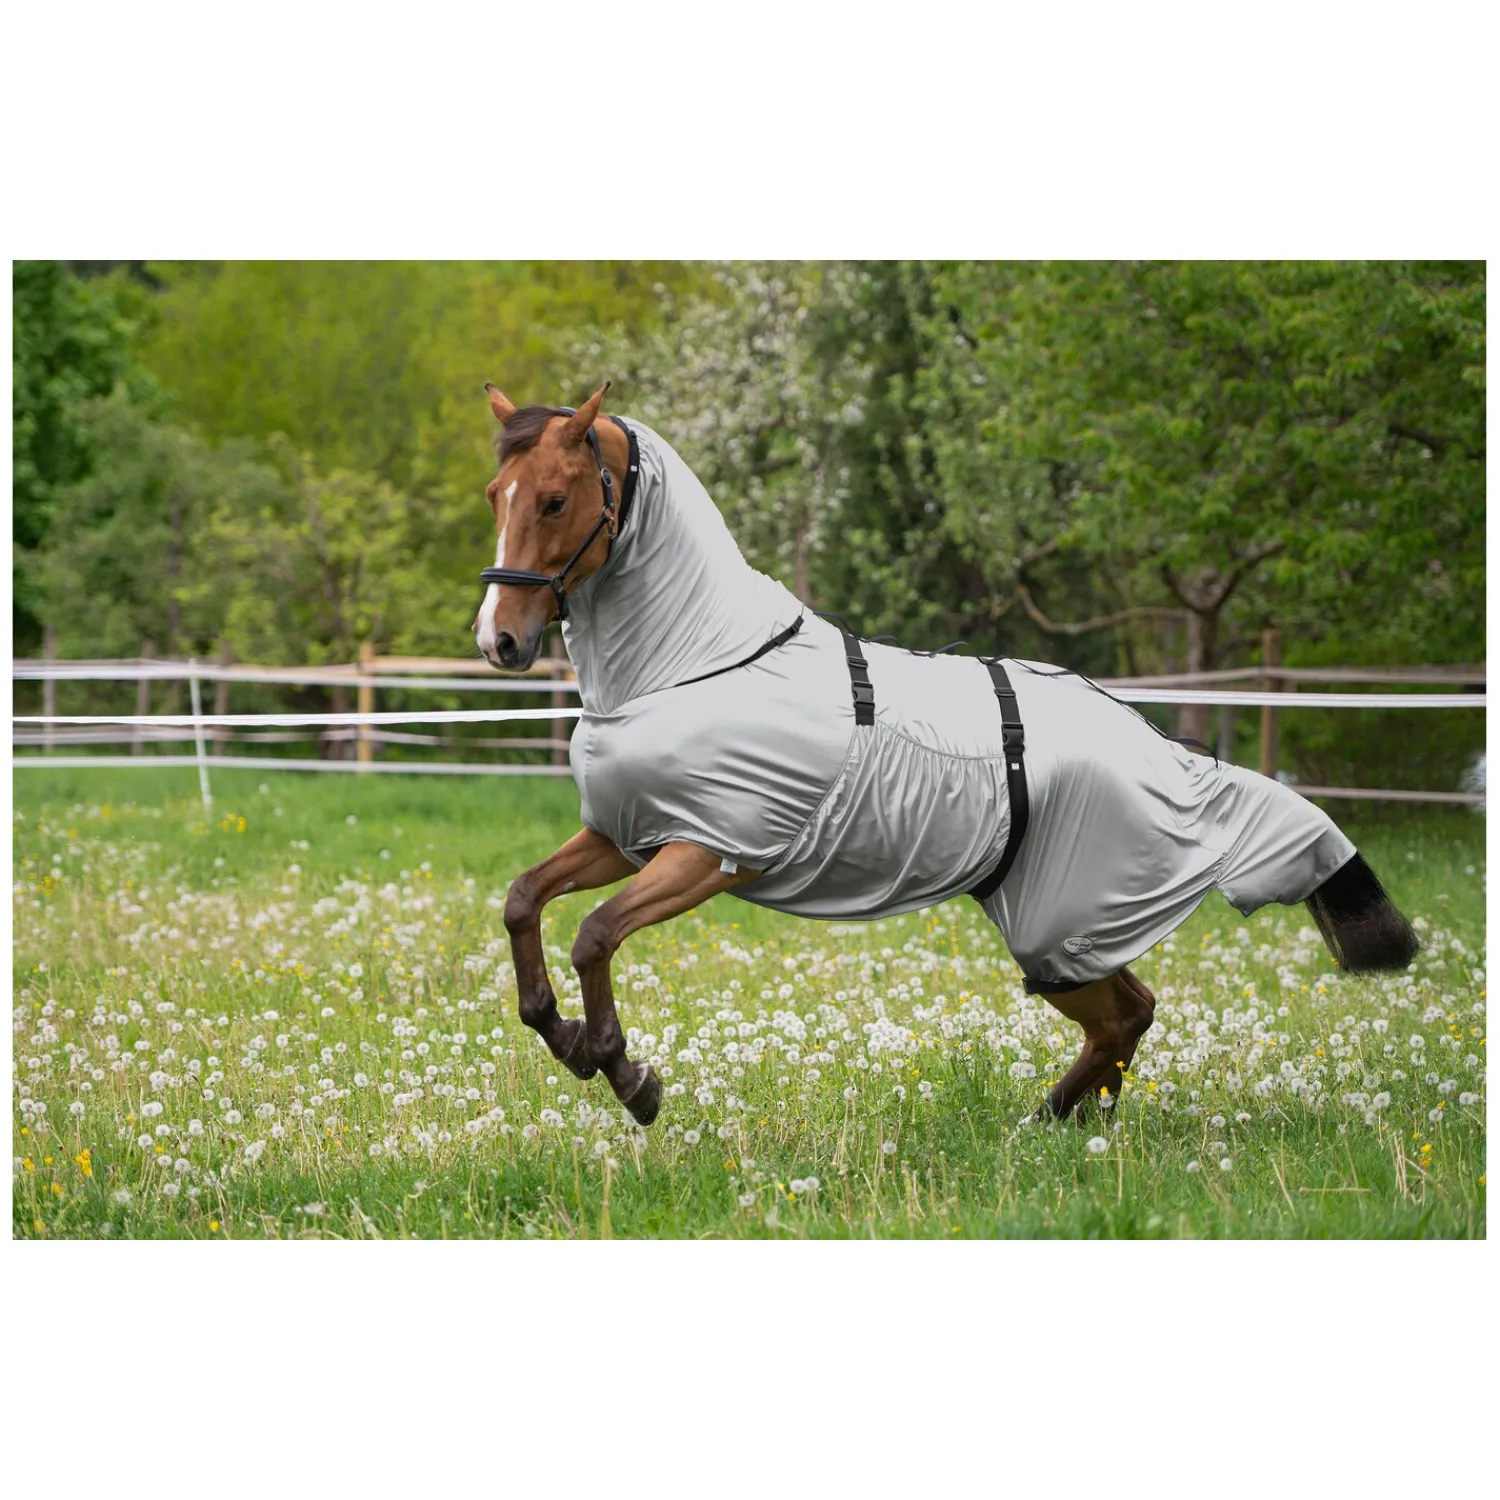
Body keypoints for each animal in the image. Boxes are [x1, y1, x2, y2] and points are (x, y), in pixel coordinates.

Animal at [473, 381, 1420, 1129]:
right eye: (495, 494)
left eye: (554, 500)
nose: (500, 642)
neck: (693, 661)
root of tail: (1162, 750)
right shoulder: (626, 836)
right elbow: (523, 901)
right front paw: (559, 1030)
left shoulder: (710, 851)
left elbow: (595, 934)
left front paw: (623, 1070)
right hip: (1059, 930)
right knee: (1130, 1014)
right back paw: (1057, 1124)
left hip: (1057, 927)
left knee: (1124, 1016)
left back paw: (1048, 1126)